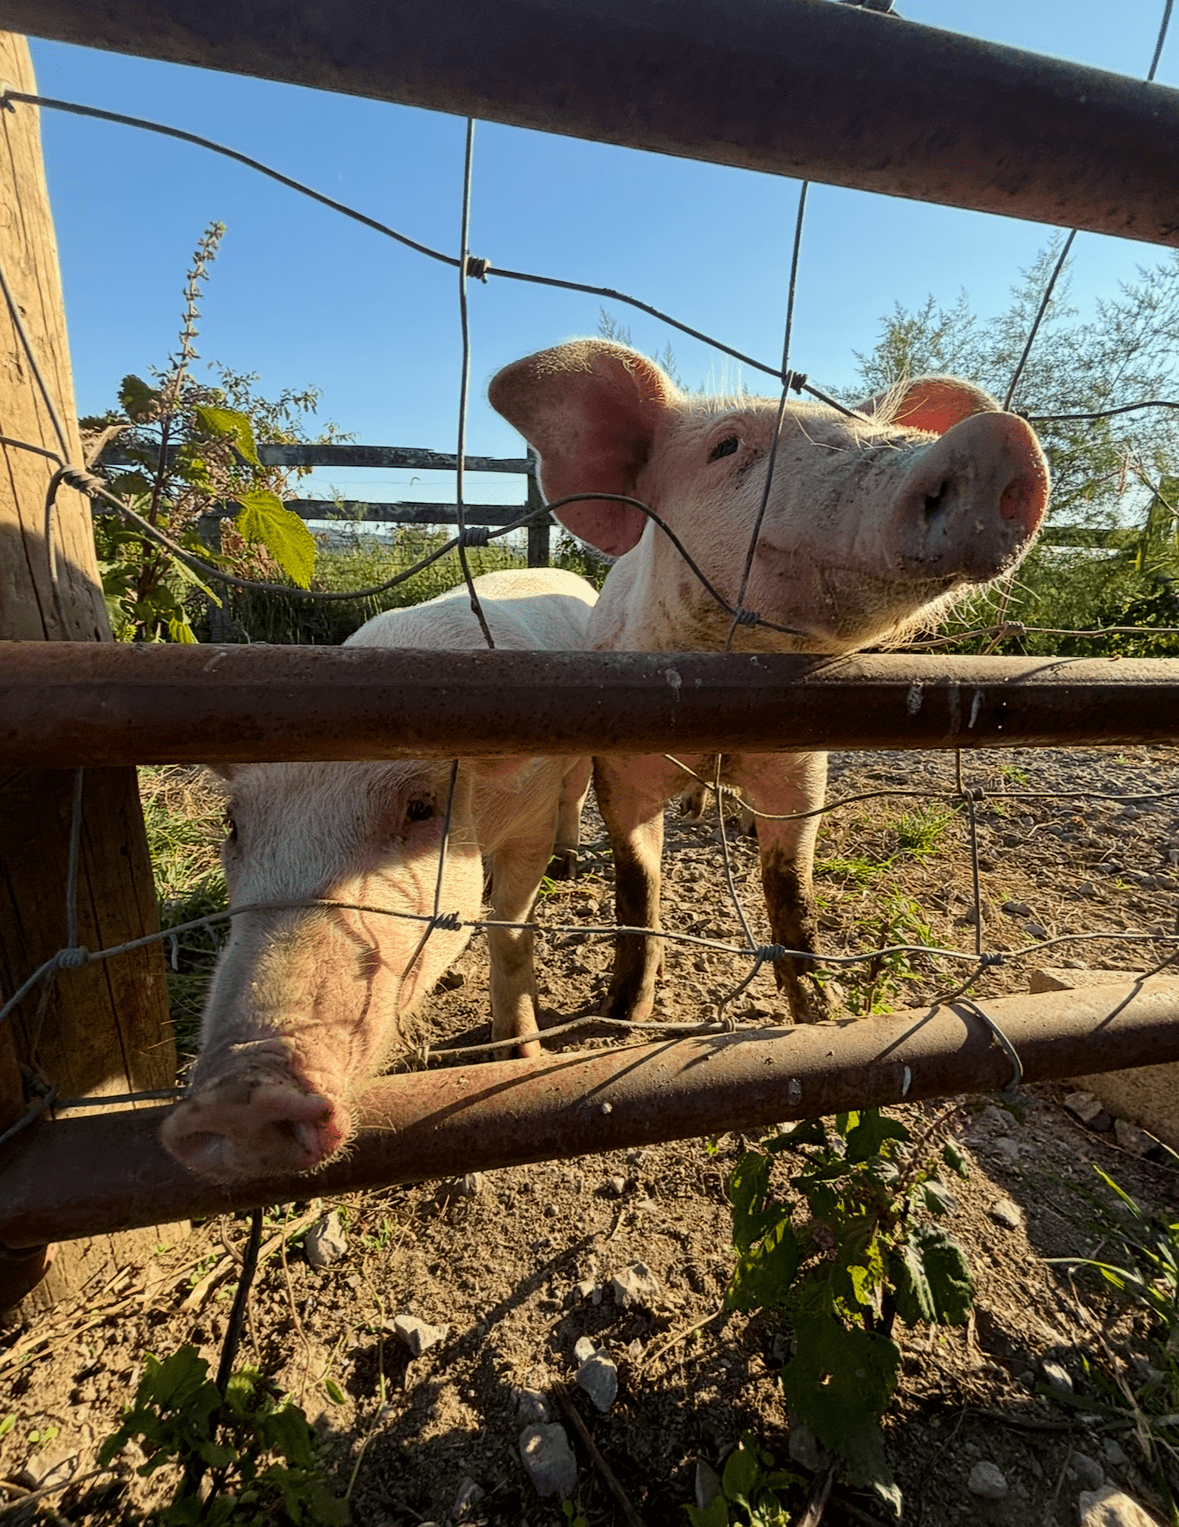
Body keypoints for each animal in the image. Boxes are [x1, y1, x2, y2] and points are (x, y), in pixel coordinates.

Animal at [160, 568, 597, 1183]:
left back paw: (570, 862)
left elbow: (509, 932)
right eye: (232, 825)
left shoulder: (530, 819)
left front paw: (518, 1055)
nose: (241, 1093)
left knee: (577, 791)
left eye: (420, 808)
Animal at [489, 341, 1049, 1025]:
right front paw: (623, 1013)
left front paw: (822, 1013)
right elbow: (638, 883)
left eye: (865, 423)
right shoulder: (620, 766)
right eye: (726, 446)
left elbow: (792, 884)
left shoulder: (802, 764)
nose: (999, 437)